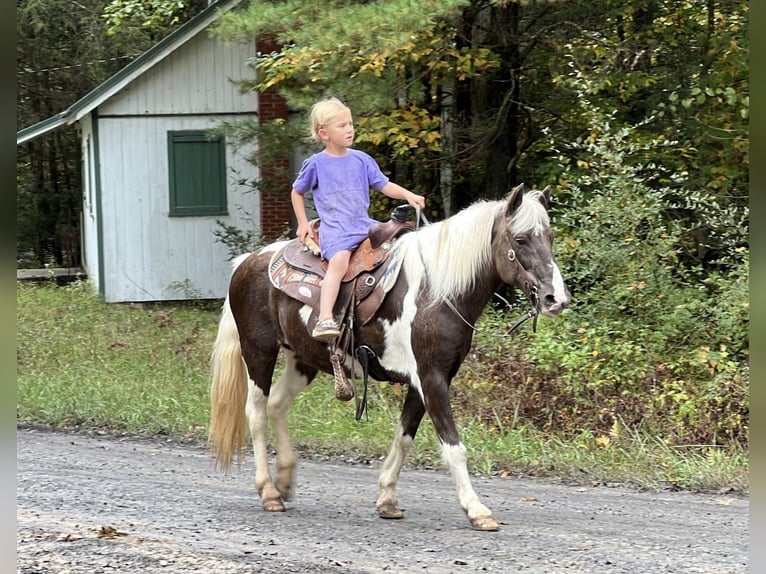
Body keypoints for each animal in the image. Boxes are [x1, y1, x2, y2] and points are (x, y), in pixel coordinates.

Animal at [208, 184, 568, 532]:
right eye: (520, 239)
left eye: (550, 237)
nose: (556, 299)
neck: (435, 293)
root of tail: (248, 260)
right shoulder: (431, 379)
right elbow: (454, 447)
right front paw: (477, 510)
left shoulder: (427, 381)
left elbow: (404, 436)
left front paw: (387, 499)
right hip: (259, 352)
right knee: (256, 414)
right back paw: (269, 491)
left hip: (302, 360)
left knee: (277, 404)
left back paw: (284, 479)